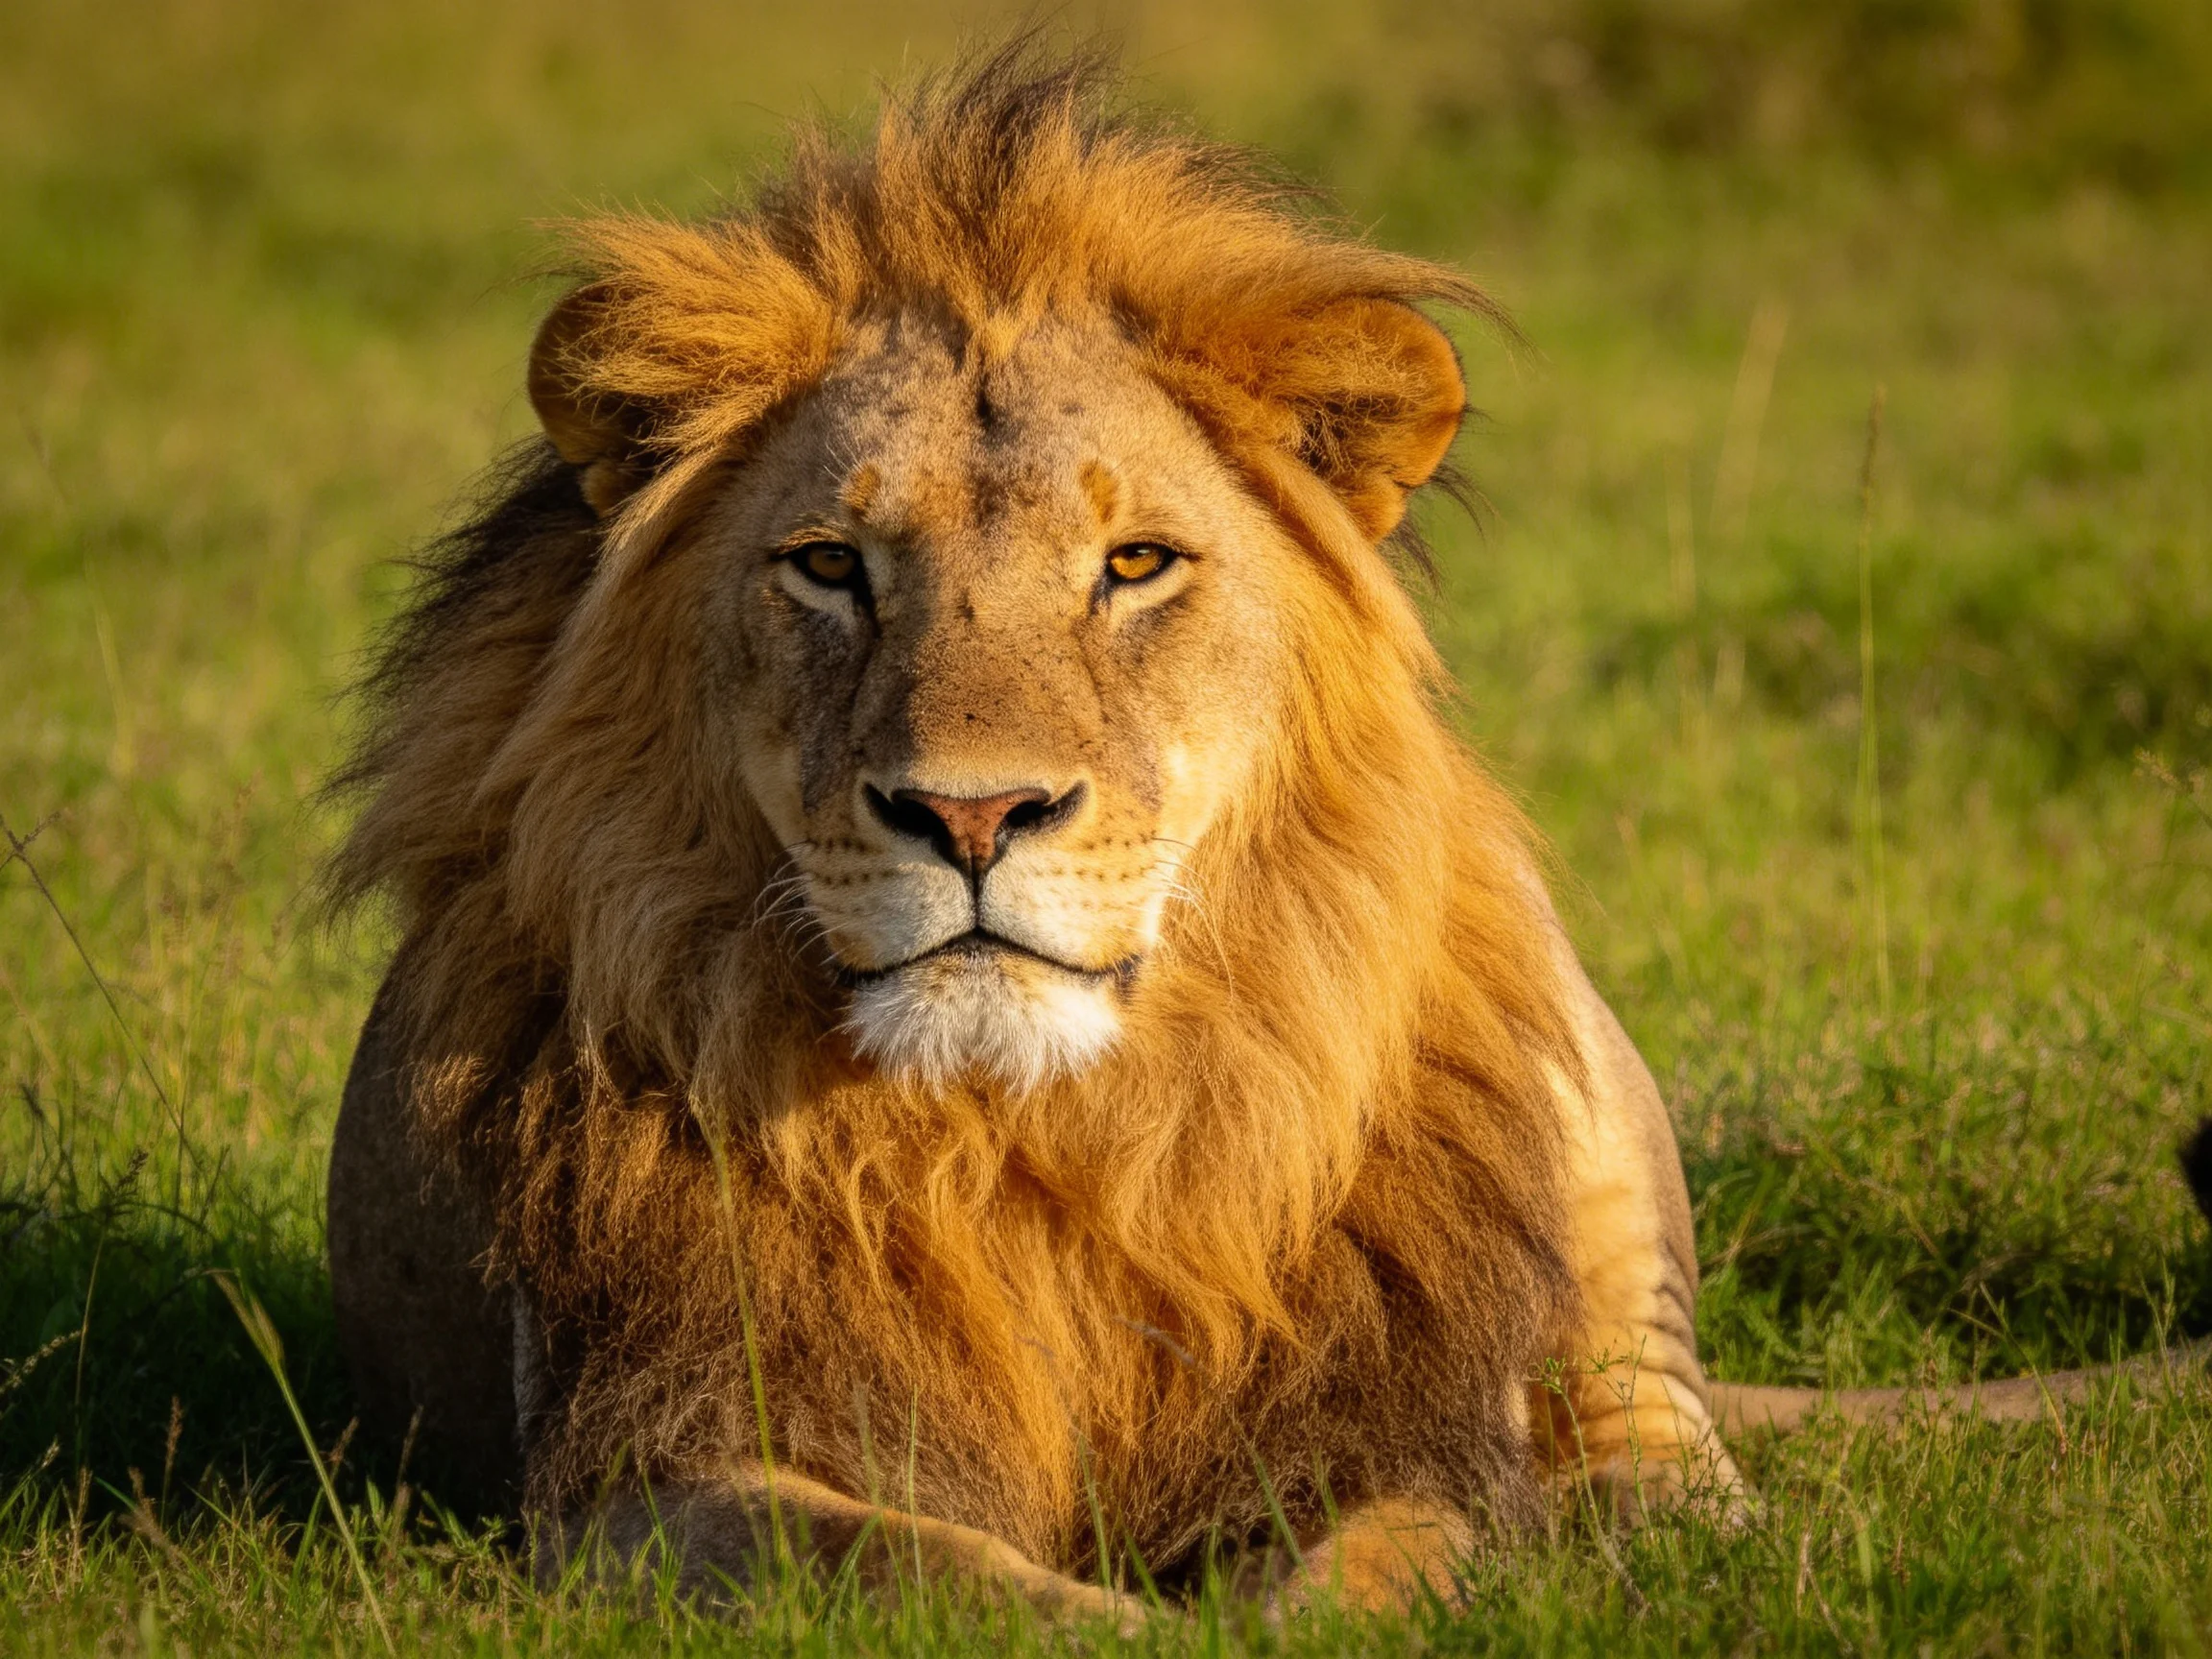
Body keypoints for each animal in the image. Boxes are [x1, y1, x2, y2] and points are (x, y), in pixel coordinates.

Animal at [324, 50, 2206, 1623]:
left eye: (1136, 564)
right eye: (829, 566)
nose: (971, 813)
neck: (1029, 1132)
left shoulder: (1384, 1425)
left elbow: (1399, 1556)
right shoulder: (655, 1466)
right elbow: (946, 1582)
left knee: (1662, 1446)